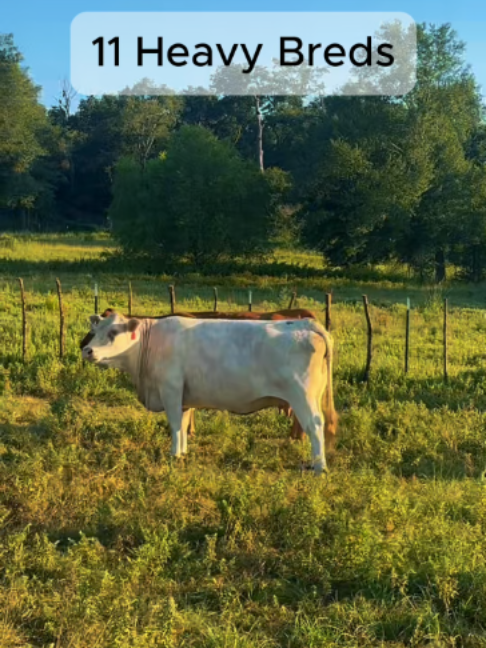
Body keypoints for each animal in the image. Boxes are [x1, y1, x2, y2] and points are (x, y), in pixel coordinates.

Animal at [81, 311, 336, 475]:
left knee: (315, 426)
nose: (87, 350)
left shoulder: (170, 389)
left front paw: (173, 456)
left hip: (303, 397)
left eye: (114, 331)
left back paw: (319, 467)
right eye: (95, 329)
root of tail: (304, 323)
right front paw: (182, 454)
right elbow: (184, 425)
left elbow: (175, 425)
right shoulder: (184, 399)